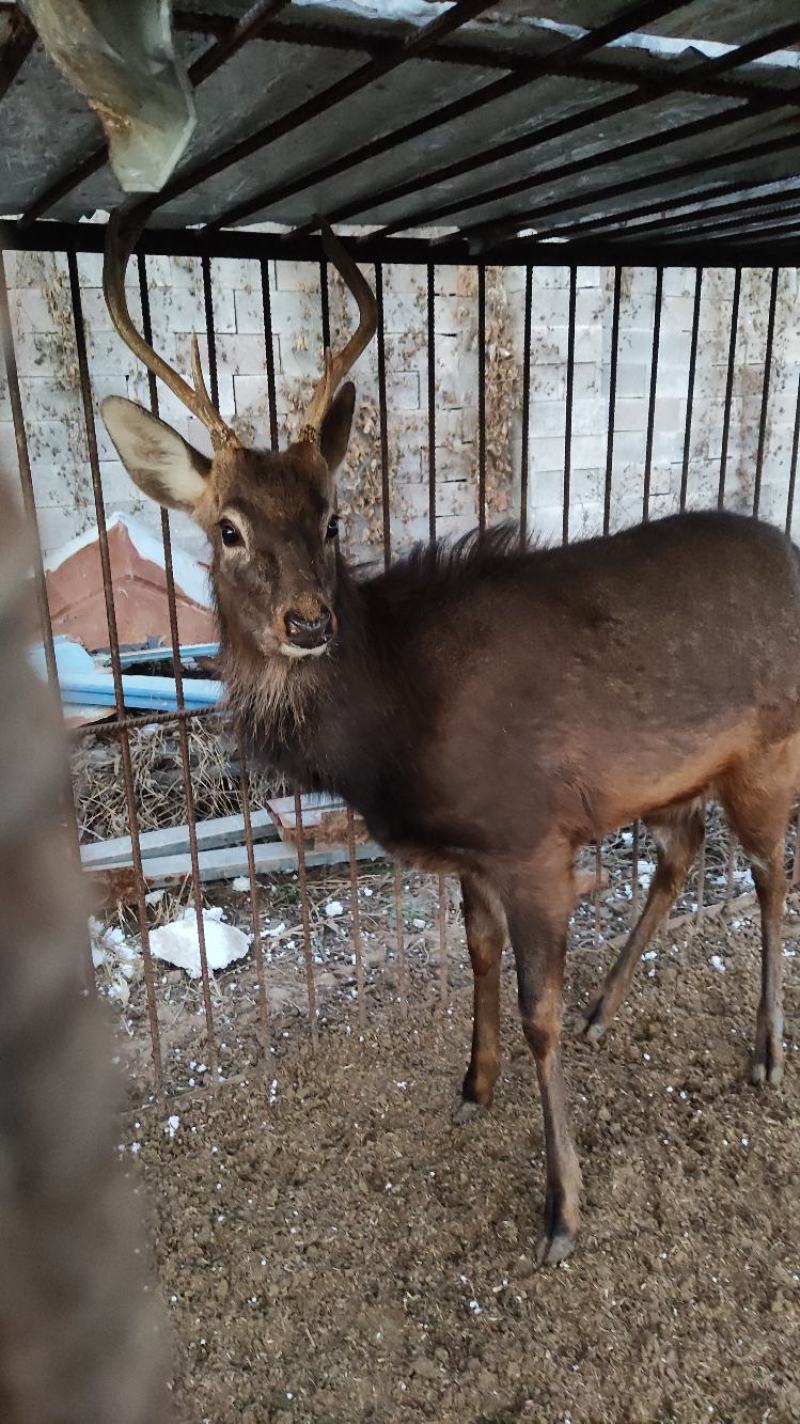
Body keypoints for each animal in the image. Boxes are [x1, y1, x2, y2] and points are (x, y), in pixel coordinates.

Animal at [100, 210, 800, 1263]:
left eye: (332, 518)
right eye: (226, 528)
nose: (309, 622)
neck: (390, 731)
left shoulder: (533, 838)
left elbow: (534, 1007)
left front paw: (561, 1209)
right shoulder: (474, 853)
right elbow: (474, 957)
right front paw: (472, 1087)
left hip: (768, 750)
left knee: (767, 875)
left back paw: (762, 1051)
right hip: (673, 777)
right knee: (682, 853)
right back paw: (608, 1010)